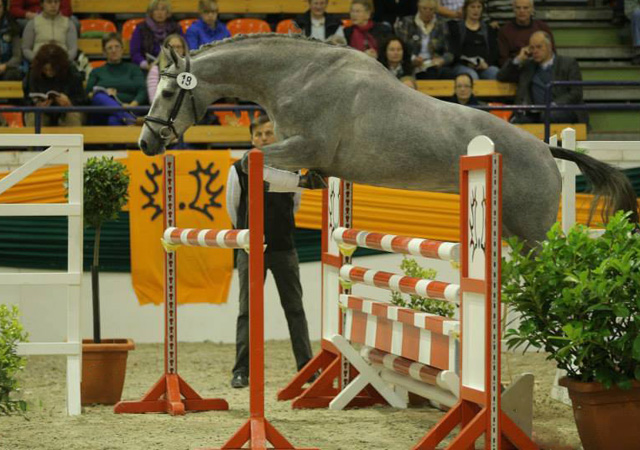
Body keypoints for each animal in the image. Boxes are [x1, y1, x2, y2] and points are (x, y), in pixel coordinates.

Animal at [138, 34, 636, 246]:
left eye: (169, 92)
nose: (146, 143)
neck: (298, 76)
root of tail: (545, 148)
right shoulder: (307, 156)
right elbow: (266, 167)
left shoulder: (305, 146)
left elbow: (245, 159)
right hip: (512, 233)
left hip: (532, 234)